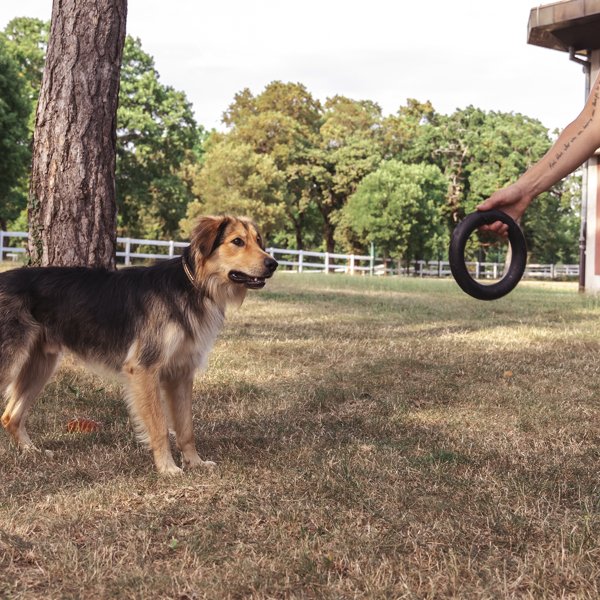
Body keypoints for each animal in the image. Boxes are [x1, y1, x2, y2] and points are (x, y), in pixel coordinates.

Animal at [0, 216, 276, 474]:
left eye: (258, 240)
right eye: (237, 241)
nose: (273, 264)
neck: (192, 285)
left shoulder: (181, 373)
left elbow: (186, 428)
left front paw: (195, 463)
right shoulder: (144, 369)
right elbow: (160, 426)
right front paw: (167, 468)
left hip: (41, 364)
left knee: (11, 416)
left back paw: (32, 452)